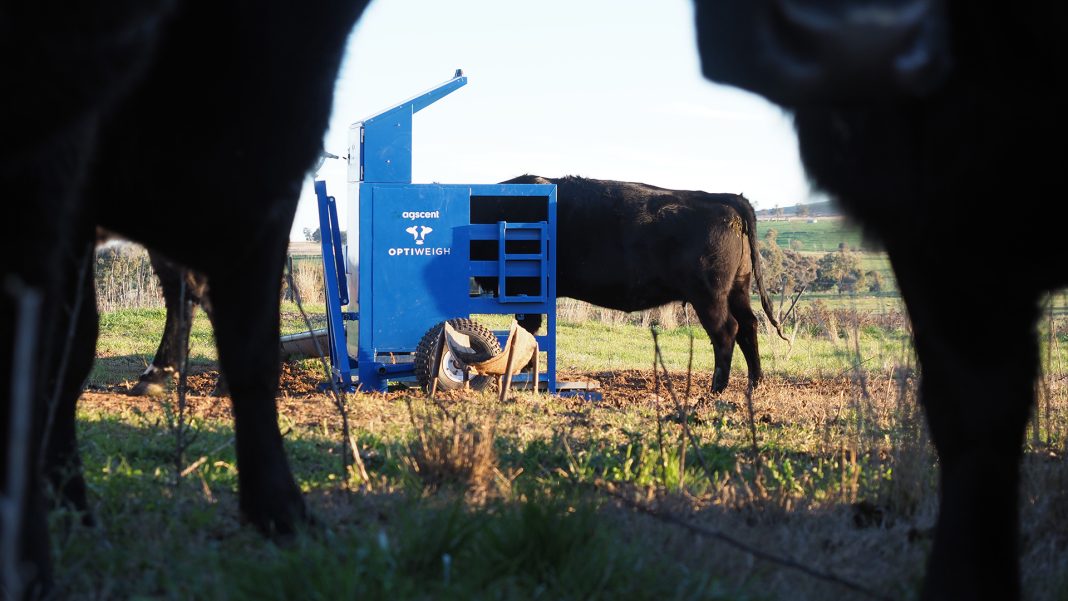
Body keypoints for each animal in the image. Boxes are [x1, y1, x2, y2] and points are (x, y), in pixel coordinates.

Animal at [0, 0, 370, 596]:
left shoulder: (270, 183)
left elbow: (254, 352)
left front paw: (282, 511)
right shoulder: (65, 188)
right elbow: (62, 355)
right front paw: (66, 510)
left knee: (181, 292)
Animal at [489, 175, 788, 393]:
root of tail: (724, 198)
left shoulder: (526, 290)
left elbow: (527, 332)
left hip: (709, 296)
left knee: (726, 331)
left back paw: (716, 390)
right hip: (737, 289)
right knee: (749, 326)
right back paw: (754, 384)